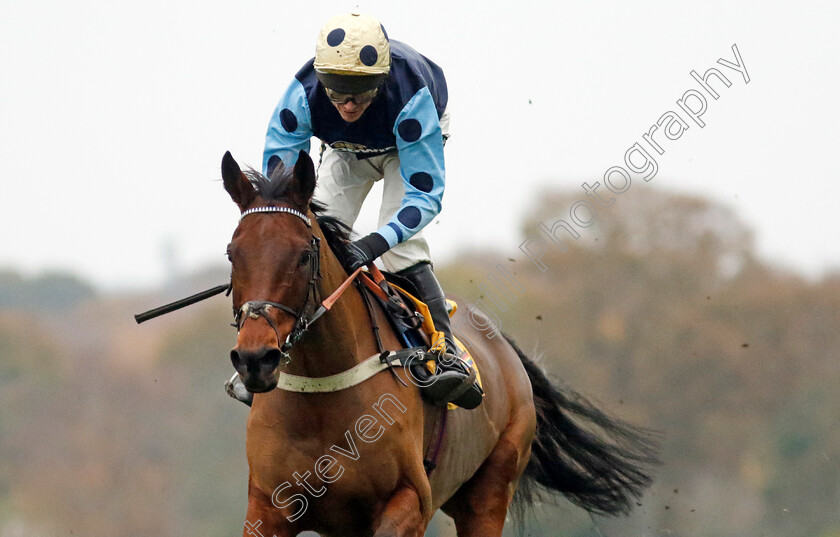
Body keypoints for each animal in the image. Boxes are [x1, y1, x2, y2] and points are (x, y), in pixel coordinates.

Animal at [220, 148, 660, 536]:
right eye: (232, 254)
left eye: (302, 256)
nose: (256, 358)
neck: (323, 393)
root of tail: (501, 344)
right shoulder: (268, 507)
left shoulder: (411, 502)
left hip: (489, 490)